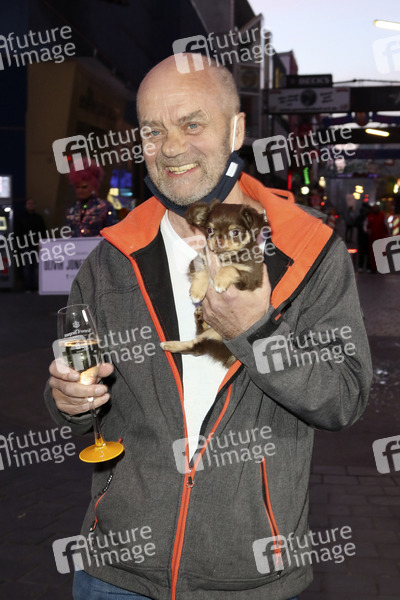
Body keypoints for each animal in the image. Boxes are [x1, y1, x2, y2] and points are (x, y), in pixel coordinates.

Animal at [161, 199, 267, 367]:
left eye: (235, 232)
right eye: (210, 230)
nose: (218, 240)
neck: (225, 257)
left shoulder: (253, 276)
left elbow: (231, 268)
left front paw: (219, 280)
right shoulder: (198, 260)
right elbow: (203, 271)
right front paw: (197, 291)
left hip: (217, 338)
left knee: (197, 347)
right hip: (211, 336)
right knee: (196, 343)